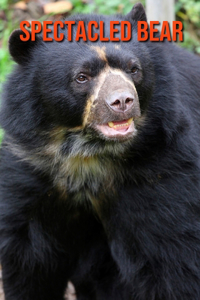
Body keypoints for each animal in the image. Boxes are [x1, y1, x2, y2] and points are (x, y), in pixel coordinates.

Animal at [1, 2, 200, 300]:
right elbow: (30, 259)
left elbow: (176, 258)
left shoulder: (163, 168)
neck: (89, 155)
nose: (123, 101)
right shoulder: (30, 168)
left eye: (133, 69)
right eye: (82, 77)